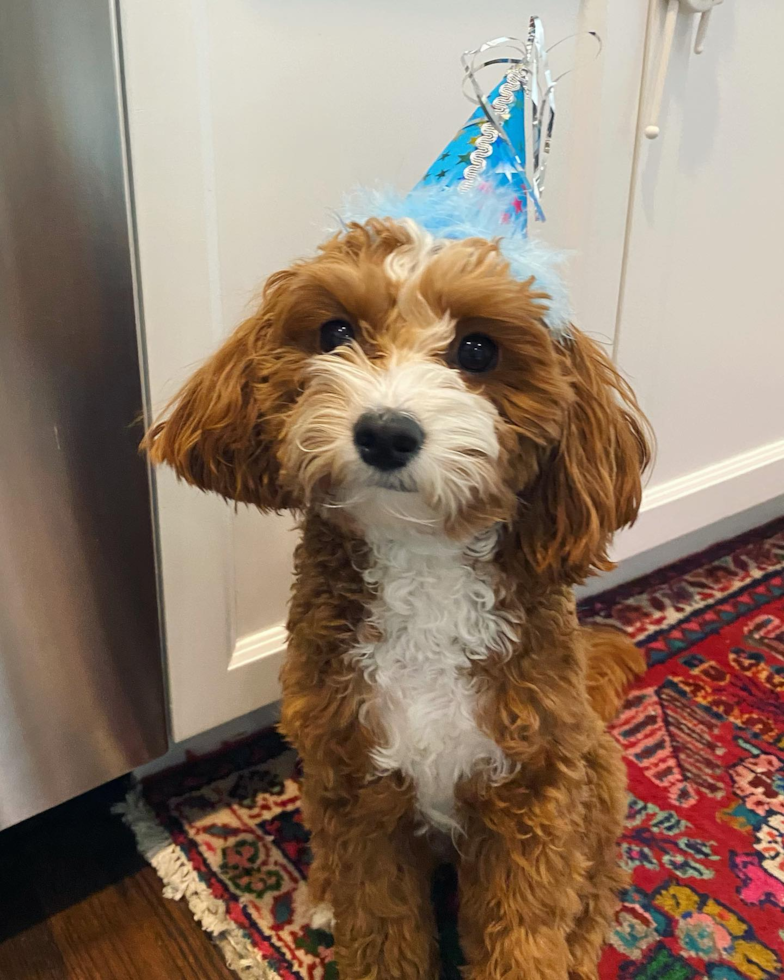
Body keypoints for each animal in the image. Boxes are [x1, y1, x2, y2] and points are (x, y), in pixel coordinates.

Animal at [145, 203, 648, 976]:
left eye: (478, 349)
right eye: (336, 333)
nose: (385, 432)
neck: (423, 561)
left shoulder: (530, 800)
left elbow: (525, 931)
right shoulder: (357, 788)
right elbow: (380, 926)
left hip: (591, 774)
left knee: (593, 880)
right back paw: (320, 892)